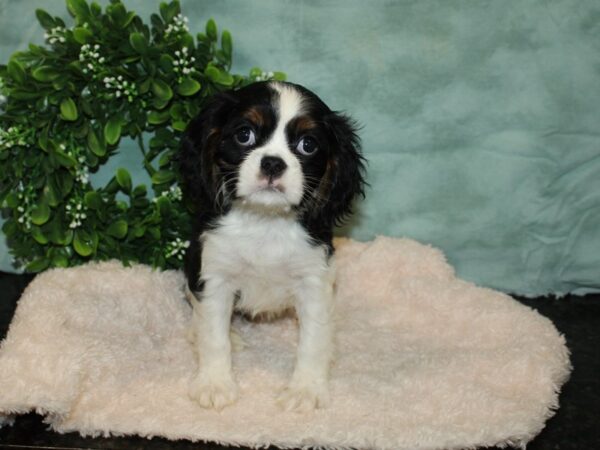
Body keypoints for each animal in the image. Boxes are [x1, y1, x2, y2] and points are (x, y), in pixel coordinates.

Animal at [178, 80, 366, 412]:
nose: (273, 163)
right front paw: (214, 383)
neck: (265, 220)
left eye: (307, 145)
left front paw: (305, 389)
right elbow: (213, 336)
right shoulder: (214, 273)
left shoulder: (314, 280)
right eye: (244, 135)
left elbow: (313, 340)